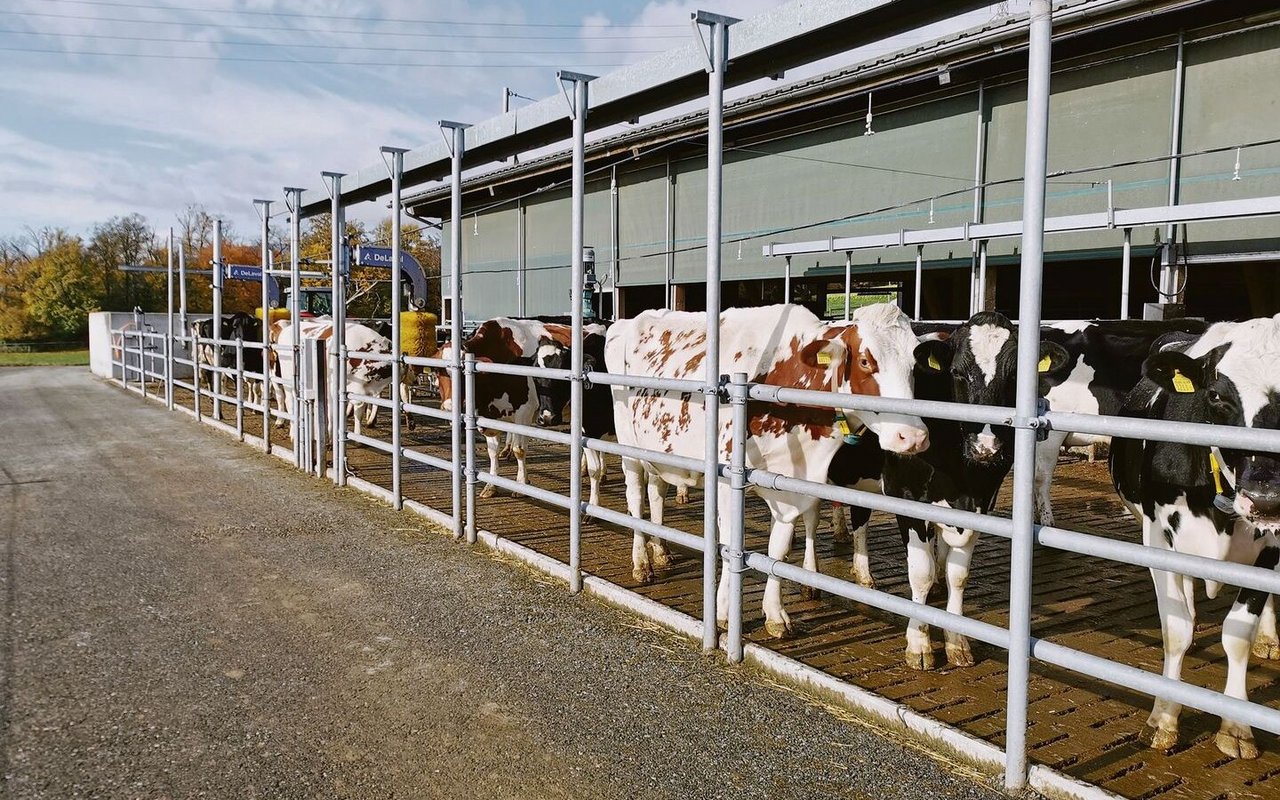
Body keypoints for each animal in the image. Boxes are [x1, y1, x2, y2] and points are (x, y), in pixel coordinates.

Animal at [604, 300, 926, 637]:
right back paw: (642, 563)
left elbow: (778, 549)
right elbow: (729, 541)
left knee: (656, 492)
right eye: (865, 361)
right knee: (635, 499)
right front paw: (724, 612)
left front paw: (774, 613)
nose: (913, 437)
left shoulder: (789, 482)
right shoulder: (726, 478)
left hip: (659, 450)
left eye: (914, 363)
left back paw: (661, 550)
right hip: (628, 447)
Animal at [1111, 314, 1280, 757]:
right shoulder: (1157, 537)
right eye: (1217, 395)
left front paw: (1236, 726)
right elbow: (1176, 630)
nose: (1267, 497)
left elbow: (1237, 633)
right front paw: (1163, 717)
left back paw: (1269, 636)